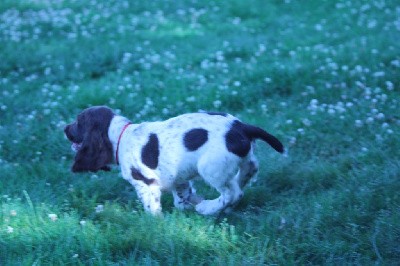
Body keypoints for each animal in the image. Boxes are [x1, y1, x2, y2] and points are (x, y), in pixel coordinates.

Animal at [64, 105, 282, 215]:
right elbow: (182, 197)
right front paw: (189, 204)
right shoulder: (179, 177)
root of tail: (240, 126)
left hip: (211, 168)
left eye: (78, 122)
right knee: (249, 170)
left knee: (232, 193)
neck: (120, 135)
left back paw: (208, 208)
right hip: (242, 159)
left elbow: (151, 206)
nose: (65, 129)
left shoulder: (146, 183)